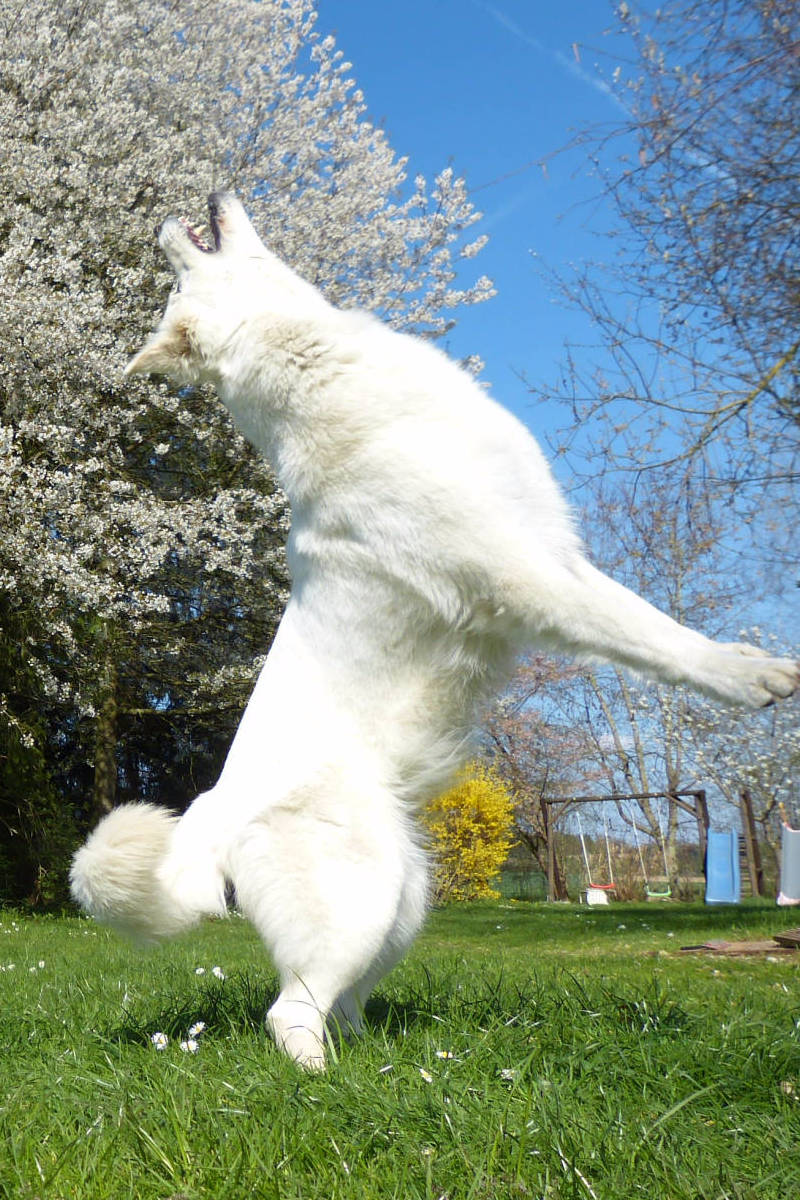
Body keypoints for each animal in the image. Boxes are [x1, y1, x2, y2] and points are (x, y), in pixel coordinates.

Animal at [71, 194, 796, 1070]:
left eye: (174, 279)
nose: (184, 213)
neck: (322, 372)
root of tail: (208, 817)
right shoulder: (529, 581)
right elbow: (656, 642)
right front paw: (754, 678)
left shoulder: (556, 557)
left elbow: (650, 617)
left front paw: (753, 659)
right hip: (361, 902)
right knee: (288, 1013)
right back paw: (324, 1084)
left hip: (403, 905)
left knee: (338, 1002)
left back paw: (391, 1063)